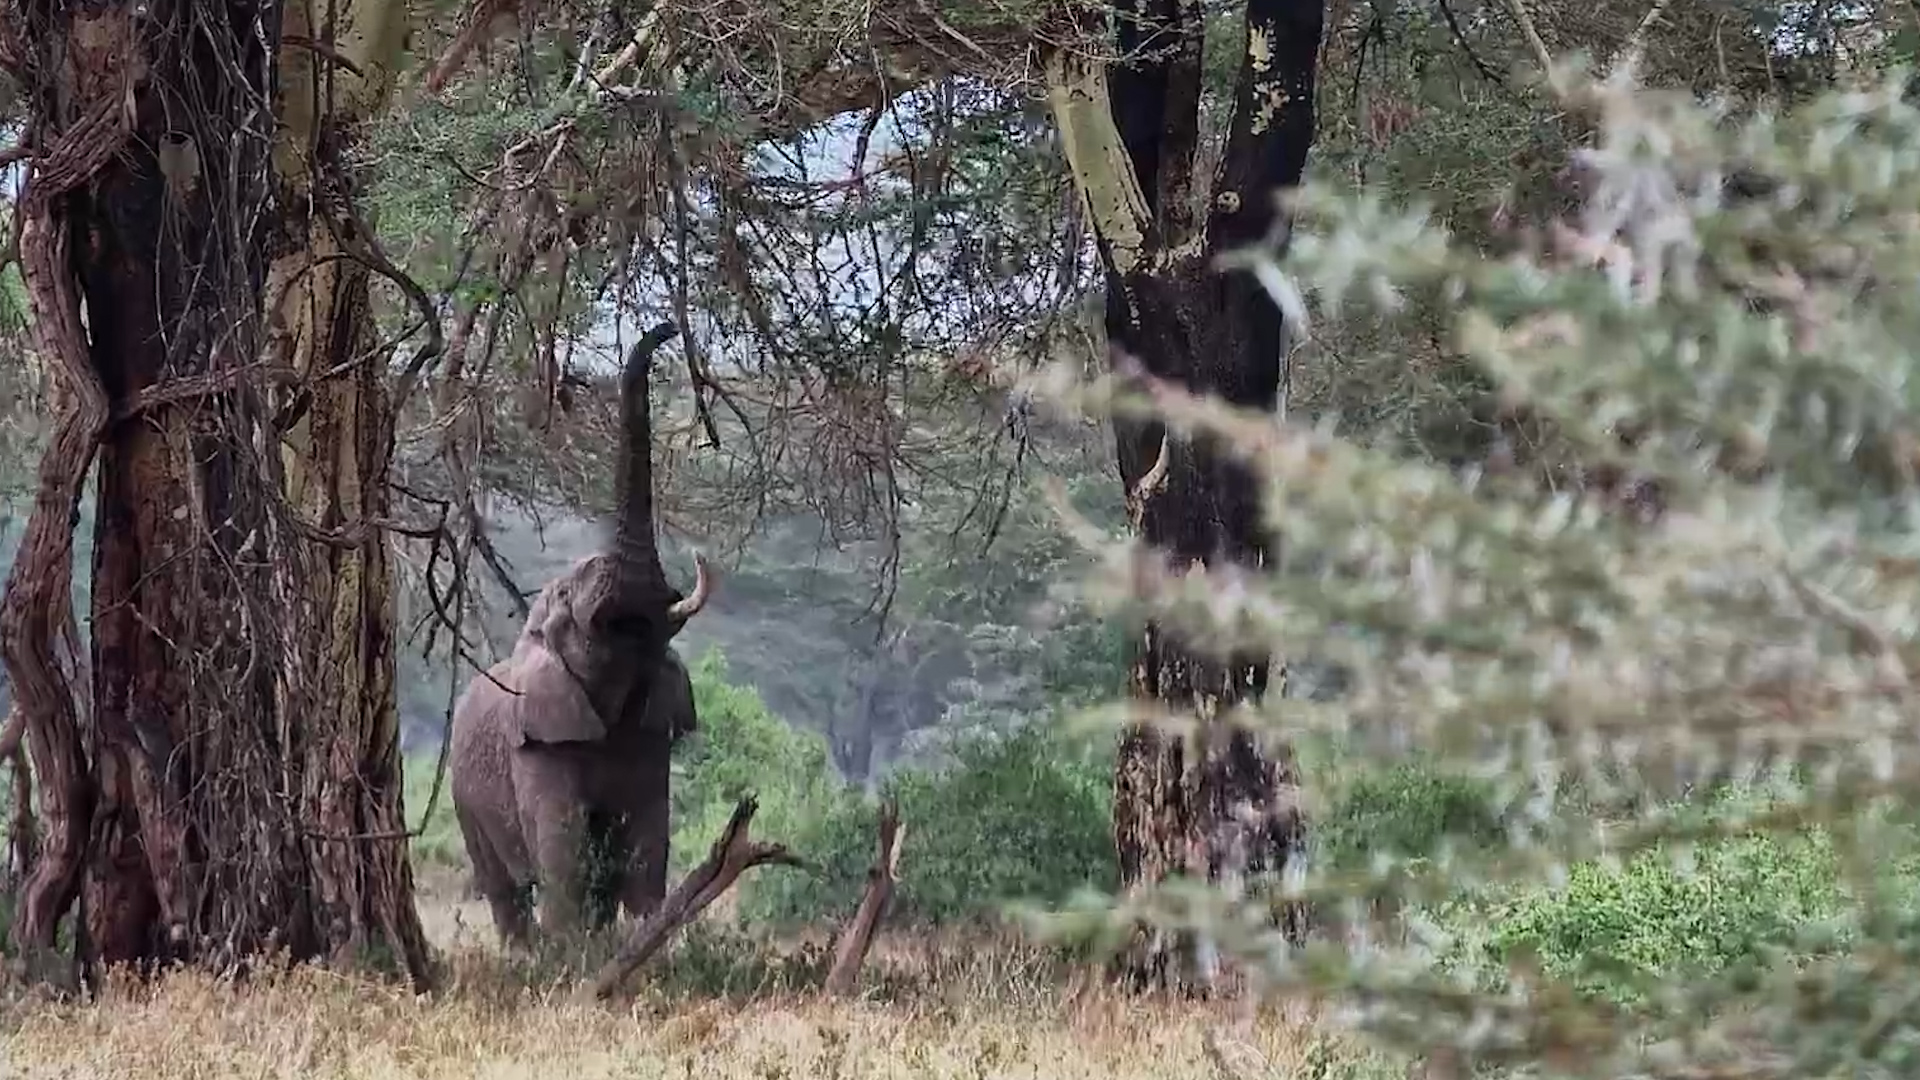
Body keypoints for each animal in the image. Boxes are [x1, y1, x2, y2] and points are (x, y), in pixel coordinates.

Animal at [447, 320, 714, 947]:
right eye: (571, 605)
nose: (672, 327)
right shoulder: (538, 742)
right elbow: (565, 847)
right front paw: (573, 955)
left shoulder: (650, 731)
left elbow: (646, 841)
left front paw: (643, 944)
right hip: (463, 797)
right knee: (504, 888)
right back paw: (526, 953)